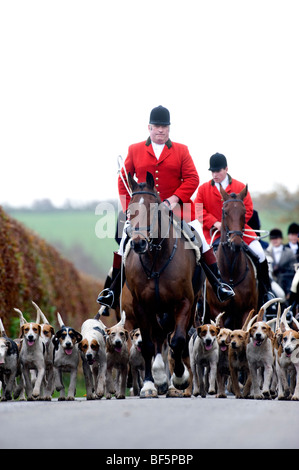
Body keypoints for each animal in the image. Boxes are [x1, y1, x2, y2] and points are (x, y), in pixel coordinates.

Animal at [124, 172, 206, 396]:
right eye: (129, 210)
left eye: (153, 209)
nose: (138, 243)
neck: (156, 257)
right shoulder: (141, 306)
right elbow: (148, 344)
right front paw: (149, 384)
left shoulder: (184, 302)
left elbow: (178, 341)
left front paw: (180, 378)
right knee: (159, 337)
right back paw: (160, 378)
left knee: (177, 338)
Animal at [206, 185, 260, 328]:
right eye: (225, 212)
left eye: (244, 212)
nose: (235, 242)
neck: (231, 273)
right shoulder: (217, 311)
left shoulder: (247, 310)